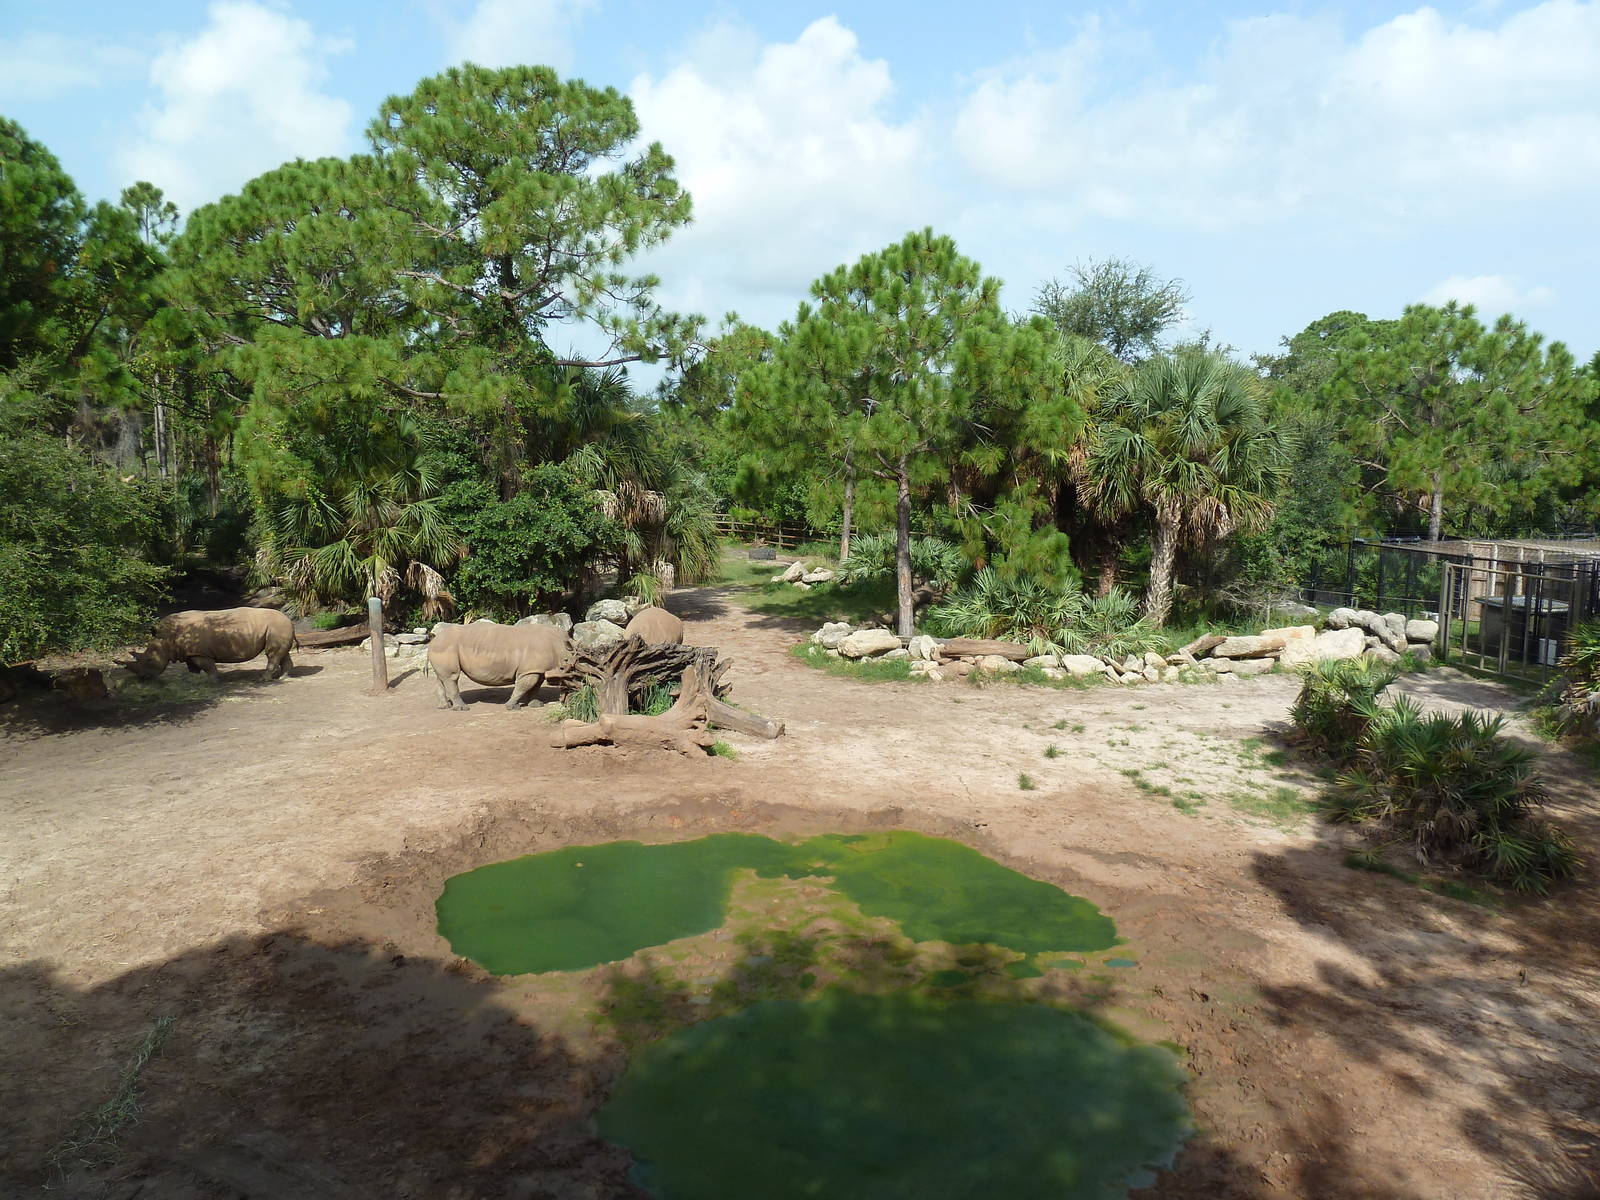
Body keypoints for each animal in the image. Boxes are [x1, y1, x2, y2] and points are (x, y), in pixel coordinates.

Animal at [120, 608, 297, 681]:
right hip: (278, 627)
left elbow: (208, 667)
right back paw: (283, 677)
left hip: (276, 626)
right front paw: (193, 681)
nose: (143, 678)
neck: (165, 640)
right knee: (281, 653)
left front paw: (212, 681)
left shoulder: (199, 653)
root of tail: (289, 619)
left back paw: (263, 680)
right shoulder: (189, 653)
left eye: (149, 660)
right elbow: (193, 668)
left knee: (272, 654)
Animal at [428, 621, 573, 710]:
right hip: (446, 646)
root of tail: (433, 640)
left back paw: (444, 706)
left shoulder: (537, 669)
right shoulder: (529, 670)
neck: (562, 648)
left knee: (442, 678)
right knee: (452, 677)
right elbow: (524, 686)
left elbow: (535, 687)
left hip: (442, 647)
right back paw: (462, 708)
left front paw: (536, 705)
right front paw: (511, 707)